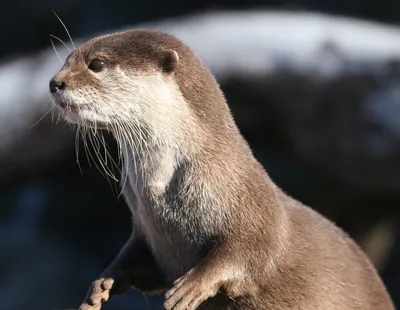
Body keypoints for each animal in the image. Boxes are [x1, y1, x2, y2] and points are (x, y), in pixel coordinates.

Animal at [47, 29, 394, 310]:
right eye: (67, 59)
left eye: (97, 64)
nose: (54, 83)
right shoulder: (145, 231)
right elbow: (138, 261)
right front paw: (102, 283)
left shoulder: (255, 210)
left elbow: (251, 250)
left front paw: (191, 286)